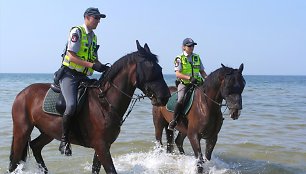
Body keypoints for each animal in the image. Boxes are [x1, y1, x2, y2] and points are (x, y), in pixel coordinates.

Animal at [9, 41, 171, 174]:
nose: (165, 97)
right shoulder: (101, 147)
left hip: (48, 132)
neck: (104, 103)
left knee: (35, 146)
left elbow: (96, 169)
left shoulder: (103, 146)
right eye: (151, 68)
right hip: (22, 131)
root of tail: (21, 94)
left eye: (160, 68)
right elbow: (110, 170)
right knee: (14, 162)